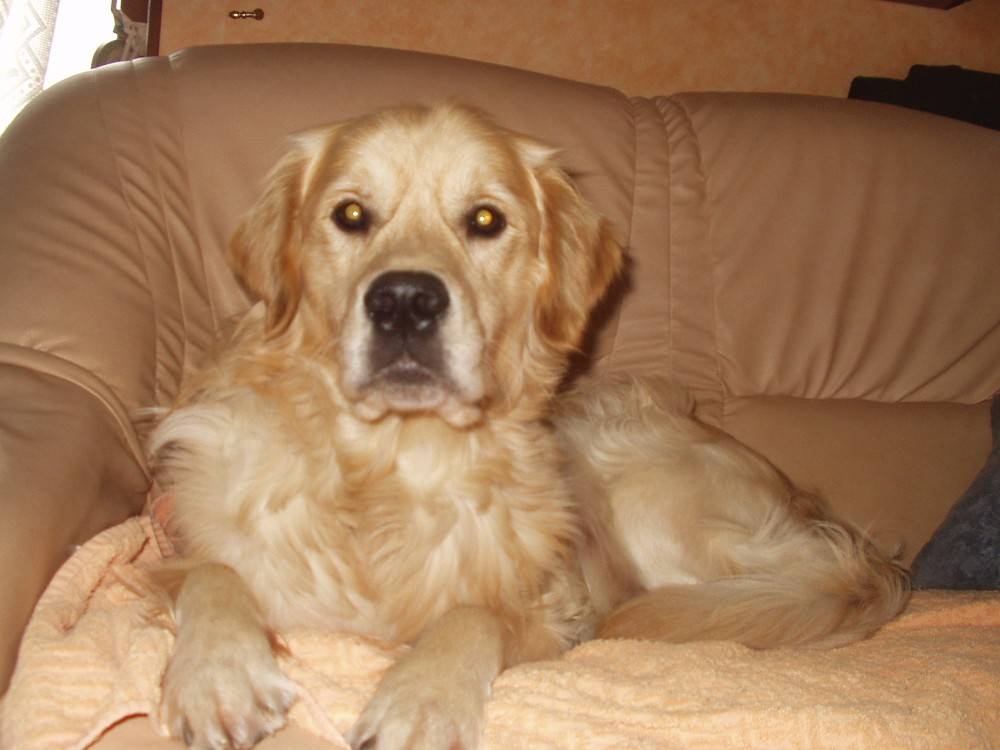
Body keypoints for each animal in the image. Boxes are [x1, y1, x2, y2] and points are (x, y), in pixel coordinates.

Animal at [146, 102, 910, 750]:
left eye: (485, 220)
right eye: (351, 213)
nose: (404, 303)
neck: (389, 466)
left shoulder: (553, 610)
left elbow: (473, 612)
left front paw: (422, 702)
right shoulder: (197, 556)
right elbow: (210, 571)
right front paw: (216, 676)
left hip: (643, 494)